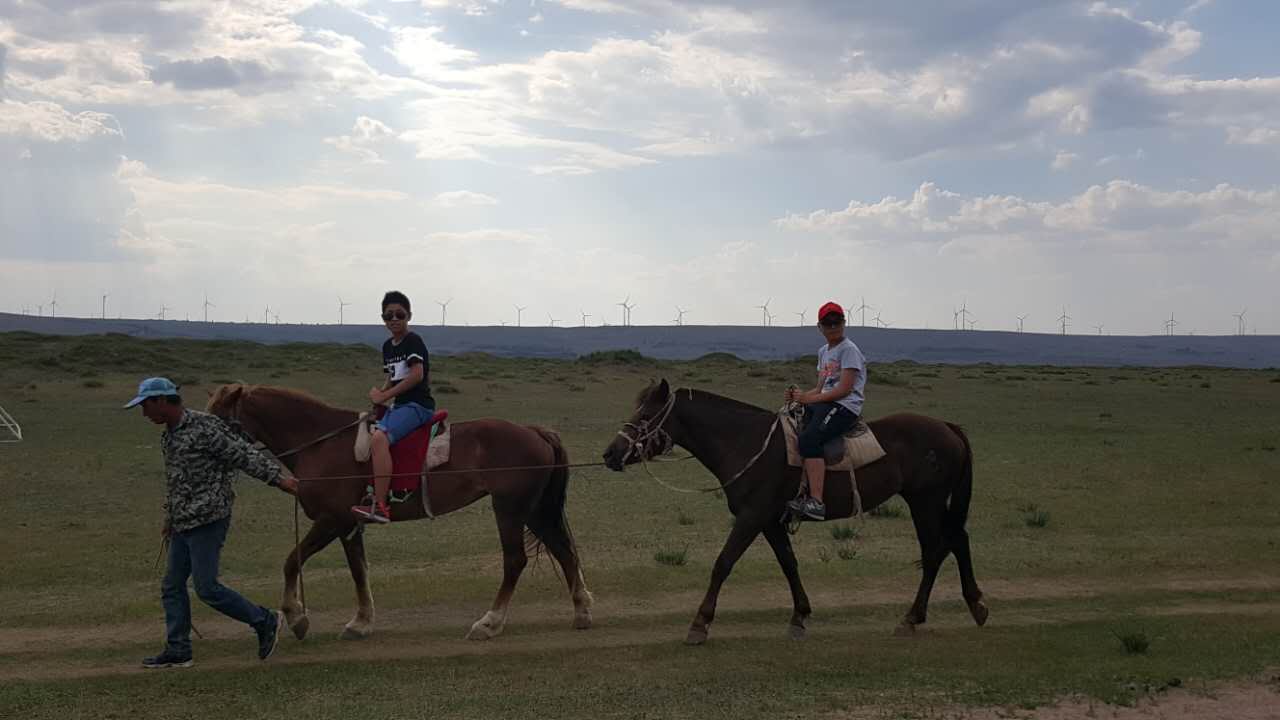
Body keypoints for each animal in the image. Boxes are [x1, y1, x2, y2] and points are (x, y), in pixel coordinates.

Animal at [207, 381, 591, 638]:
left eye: (218, 418)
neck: (321, 443)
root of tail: (534, 431)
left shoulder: (331, 521)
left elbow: (291, 561)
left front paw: (296, 617)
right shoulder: (349, 524)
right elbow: (358, 570)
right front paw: (361, 622)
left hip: (510, 509)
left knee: (515, 561)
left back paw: (490, 622)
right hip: (534, 511)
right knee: (564, 551)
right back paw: (582, 611)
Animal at [601, 379, 988, 640]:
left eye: (646, 415)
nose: (610, 454)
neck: (746, 443)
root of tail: (947, 427)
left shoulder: (752, 517)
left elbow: (723, 563)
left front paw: (700, 623)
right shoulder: (770, 520)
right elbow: (789, 564)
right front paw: (800, 616)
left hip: (926, 501)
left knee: (936, 551)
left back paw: (914, 617)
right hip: (929, 502)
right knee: (956, 540)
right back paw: (973, 606)